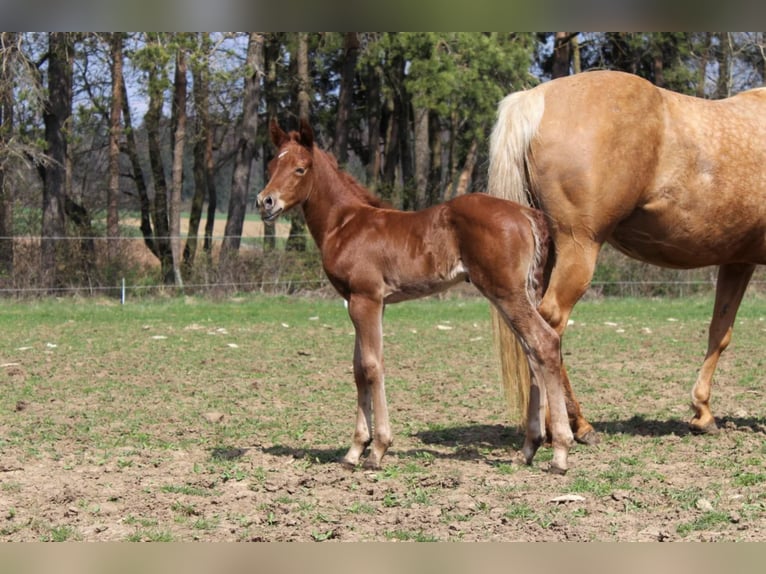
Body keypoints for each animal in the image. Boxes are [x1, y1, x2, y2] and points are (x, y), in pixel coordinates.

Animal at [257, 118, 574, 474]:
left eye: (300, 168)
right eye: (271, 165)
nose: (265, 202)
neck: (345, 223)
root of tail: (528, 215)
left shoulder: (365, 299)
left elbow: (371, 366)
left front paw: (377, 450)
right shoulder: (364, 302)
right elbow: (358, 370)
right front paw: (354, 451)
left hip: (506, 293)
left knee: (544, 343)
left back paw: (560, 453)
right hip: (519, 294)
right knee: (532, 353)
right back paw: (528, 449)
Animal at [487, 69, 766, 445]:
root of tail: (535, 98)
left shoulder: (737, 261)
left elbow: (720, 332)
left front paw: (702, 413)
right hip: (579, 249)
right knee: (550, 326)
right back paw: (575, 425)